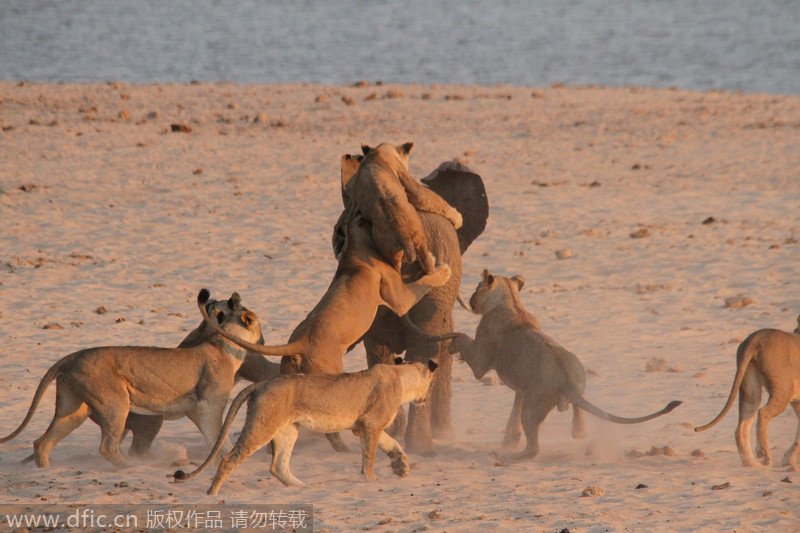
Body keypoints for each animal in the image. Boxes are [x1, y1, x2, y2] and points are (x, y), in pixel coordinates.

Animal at [0, 288, 262, 468]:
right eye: (253, 320)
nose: (263, 340)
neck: (221, 342)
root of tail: (72, 356)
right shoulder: (209, 405)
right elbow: (220, 437)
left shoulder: (197, 410)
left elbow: (214, 438)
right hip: (115, 403)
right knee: (107, 447)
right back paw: (133, 467)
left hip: (73, 408)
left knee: (42, 443)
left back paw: (47, 471)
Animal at [173, 358, 444, 494]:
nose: (427, 398)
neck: (402, 377)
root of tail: (262, 383)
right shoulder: (370, 424)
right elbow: (369, 458)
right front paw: (371, 482)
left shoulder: (365, 426)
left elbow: (393, 443)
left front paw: (401, 466)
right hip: (262, 427)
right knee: (228, 459)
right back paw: (212, 493)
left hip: (287, 430)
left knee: (278, 466)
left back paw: (305, 487)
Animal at [342, 141, 462, 272]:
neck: (378, 151)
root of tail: (404, 235)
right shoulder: (408, 181)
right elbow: (429, 197)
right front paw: (458, 218)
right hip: (408, 240)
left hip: (402, 245)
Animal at [450, 268, 680, 460]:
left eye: (477, 287)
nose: (470, 300)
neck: (512, 301)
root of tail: (566, 381)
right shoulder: (522, 387)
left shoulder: (481, 361)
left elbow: (465, 342)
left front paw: (452, 341)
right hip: (578, 380)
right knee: (579, 417)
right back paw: (577, 430)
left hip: (532, 409)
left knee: (533, 447)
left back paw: (508, 457)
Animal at [692, 324, 800, 470]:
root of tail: (756, 338)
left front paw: (789, 460)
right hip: (784, 387)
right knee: (763, 413)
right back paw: (763, 454)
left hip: (749, 387)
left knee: (740, 429)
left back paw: (750, 463)